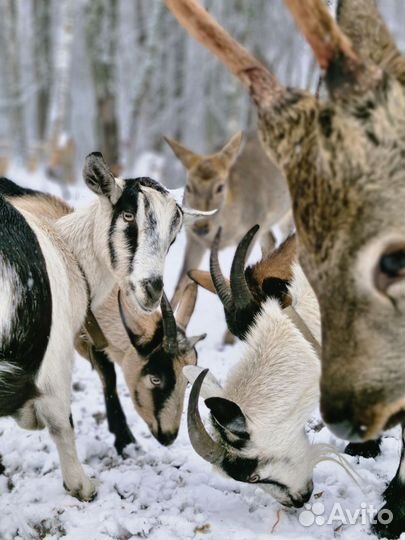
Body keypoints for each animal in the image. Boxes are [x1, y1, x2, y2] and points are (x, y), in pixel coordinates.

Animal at [0, 152, 208, 498]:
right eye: (128, 215)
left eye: (174, 234)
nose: (153, 288)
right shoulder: (56, 357)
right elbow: (63, 419)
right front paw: (83, 485)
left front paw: (124, 440)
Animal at [164, 130, 294, 312]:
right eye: (188, 187)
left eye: (220, 187)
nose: (201, 226)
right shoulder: (194, 240)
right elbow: (181, 282)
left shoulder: (251, 229)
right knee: (271, 240)